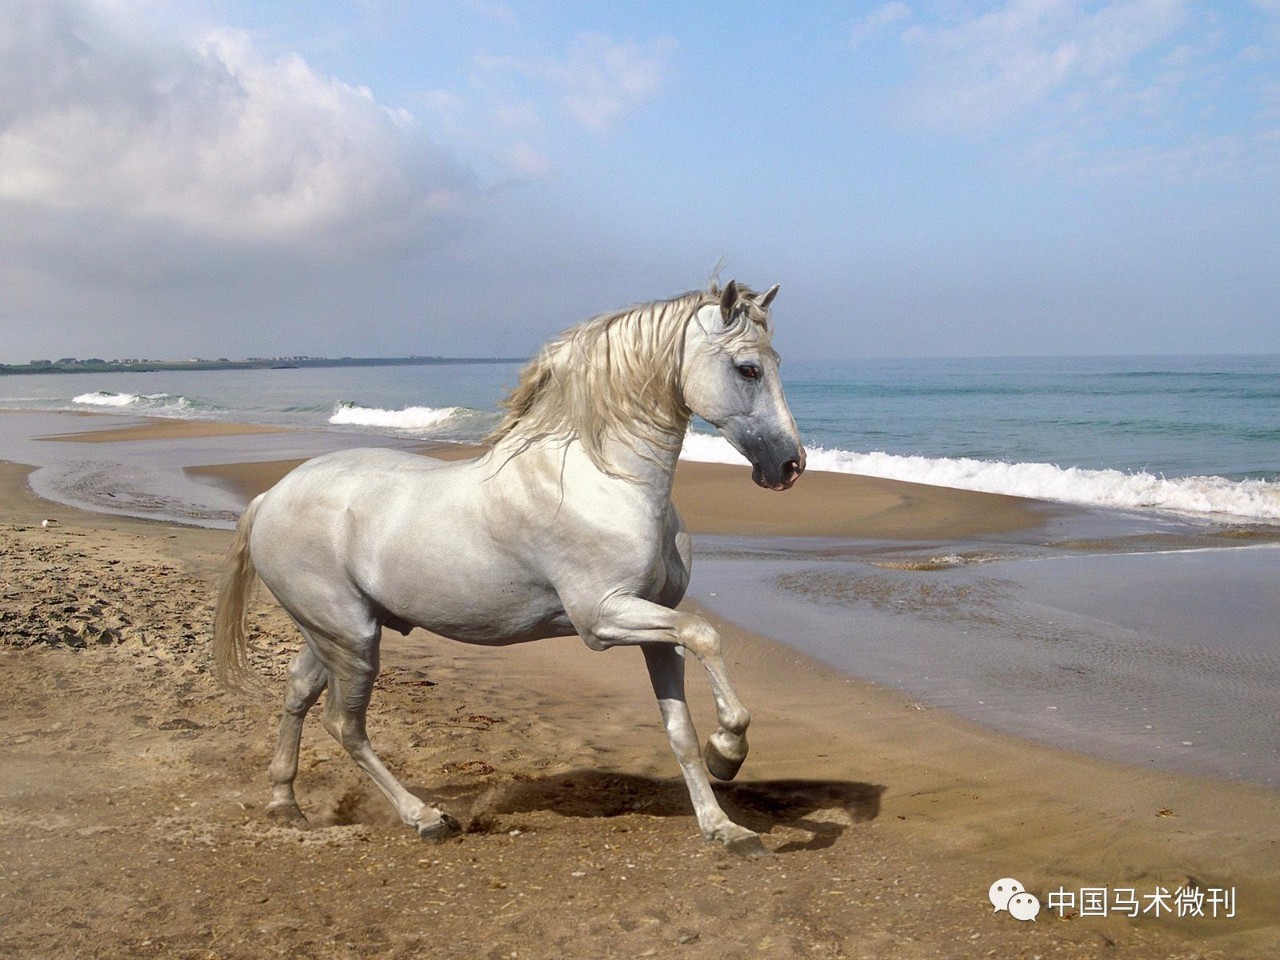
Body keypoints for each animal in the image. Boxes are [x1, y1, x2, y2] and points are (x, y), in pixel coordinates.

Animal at [215, 277, 803, 855]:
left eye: (776, 362)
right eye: (748, 368)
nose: (789, 465)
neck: (603, 480)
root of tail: (270, 497)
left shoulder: (656, 626)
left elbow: (680, 728)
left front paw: (724, 826)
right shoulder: (603, 619)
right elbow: (707, 635)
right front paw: (728, 751)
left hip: (333, 633)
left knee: (297, 692)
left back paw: (285, 804)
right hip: (352, 638)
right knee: (345, 724)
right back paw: (425, 817)